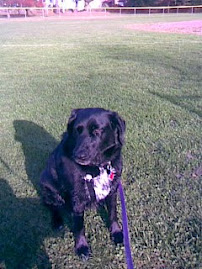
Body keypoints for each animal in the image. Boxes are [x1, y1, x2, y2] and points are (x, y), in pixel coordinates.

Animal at [40, 107, 125, 258]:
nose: (78, 155)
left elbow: (113, 214)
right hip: (49, 188)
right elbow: (79, 226)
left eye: (97, 131)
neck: (98, 166)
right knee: (53, 206)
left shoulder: (112, 191)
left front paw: (116, 233)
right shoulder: (77, 198)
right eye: (77, 130)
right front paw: (82, 247)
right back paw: (57, 222)